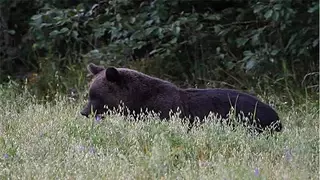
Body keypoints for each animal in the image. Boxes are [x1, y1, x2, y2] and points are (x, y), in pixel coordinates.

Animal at [80, 62, 282, 133]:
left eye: (95, 96)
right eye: (90, 94)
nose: (83, 111)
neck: (136, 101)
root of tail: (278, 117)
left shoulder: (164, 110)